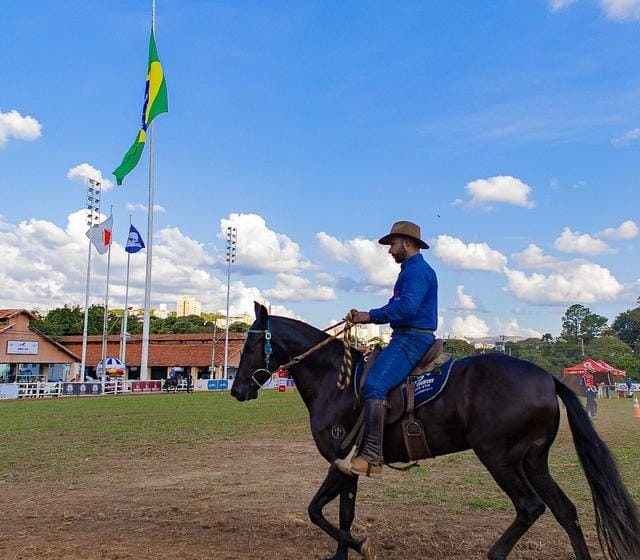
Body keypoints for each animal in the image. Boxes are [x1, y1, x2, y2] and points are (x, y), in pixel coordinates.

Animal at [232, 304, 640, 556]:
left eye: (250, 344)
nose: (236, 390)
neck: (336, 381)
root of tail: (545, 377)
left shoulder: (339, 461)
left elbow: (317, 511)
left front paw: (361, 546)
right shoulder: (349, 466)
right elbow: (342, 514)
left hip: (500, 458)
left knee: (530, 507)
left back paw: (495, 553)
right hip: (534, 461)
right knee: (565, 510)